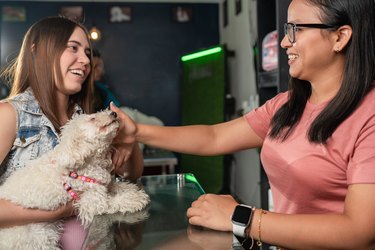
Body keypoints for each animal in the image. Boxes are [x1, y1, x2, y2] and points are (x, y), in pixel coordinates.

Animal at [0, 110, 150, 250]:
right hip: (37, 237)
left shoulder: (101, 183)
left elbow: (114, 185)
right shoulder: (93, 202)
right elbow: (115, 201)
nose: (113, 113)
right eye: (92, 118)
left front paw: (130, 188)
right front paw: (136, 198)